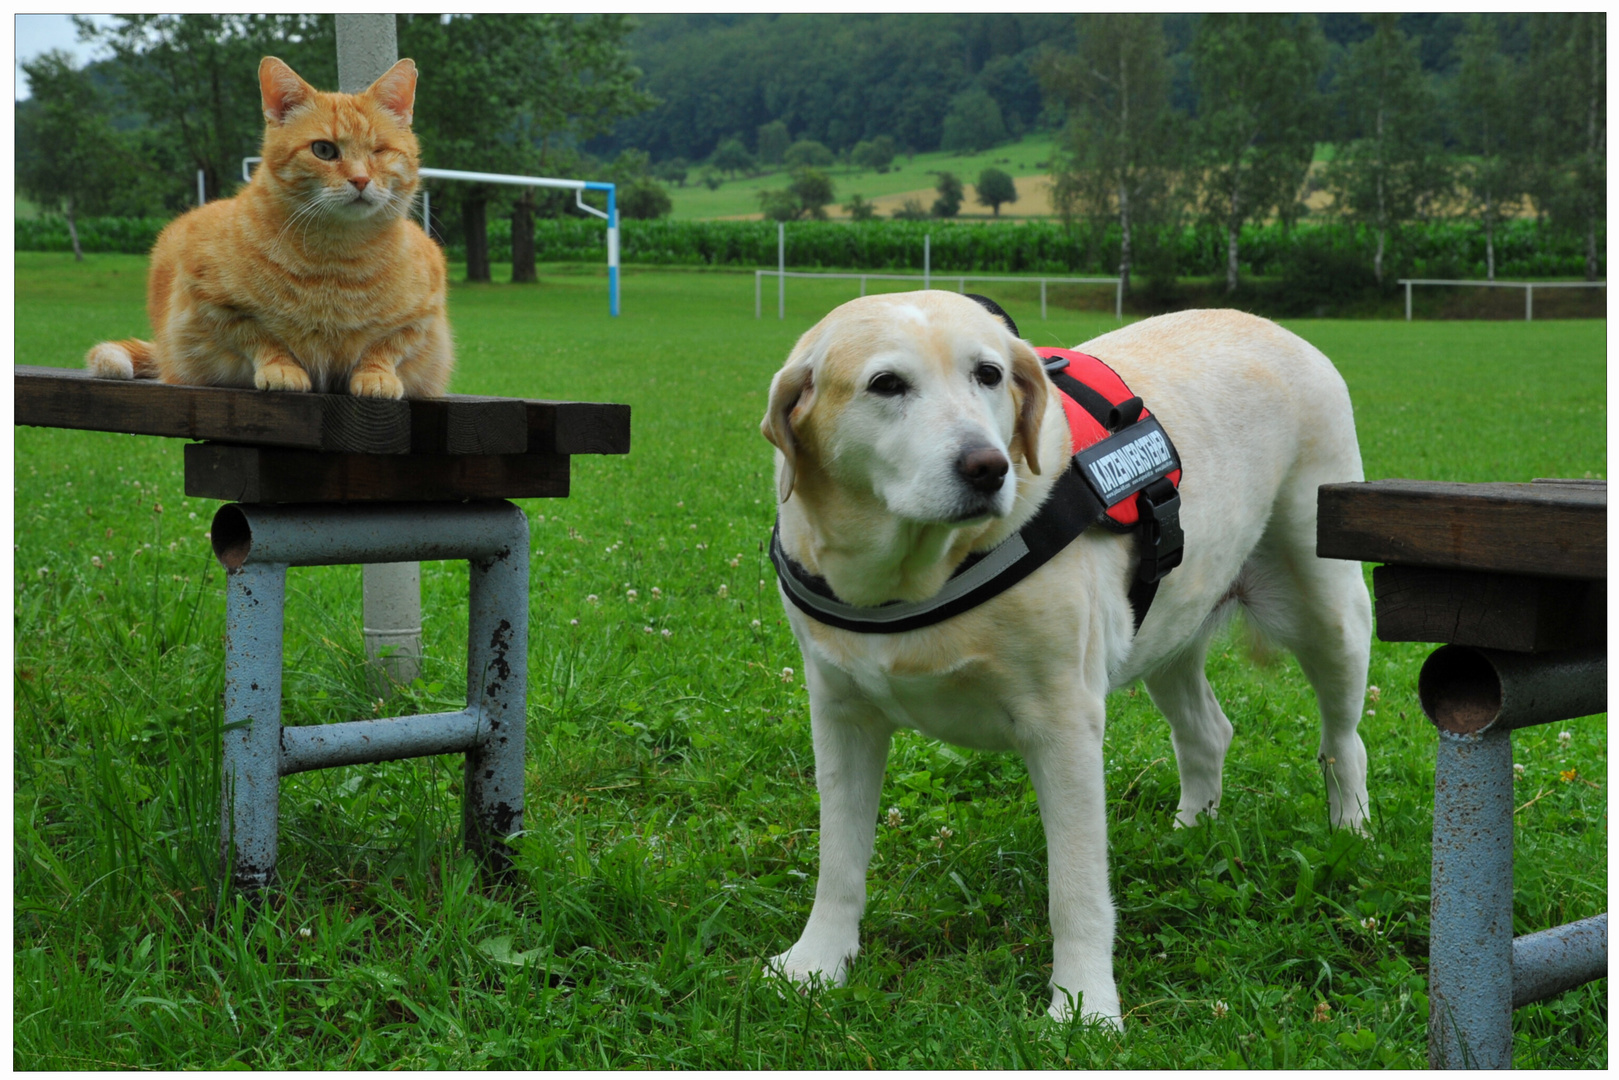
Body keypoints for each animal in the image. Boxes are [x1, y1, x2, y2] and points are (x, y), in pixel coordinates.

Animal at [89, 57, 456, 401]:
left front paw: (376, 376)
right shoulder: (211, 302)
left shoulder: (423, 315)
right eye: (324, 149)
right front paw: (282, 368)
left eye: (379, 151)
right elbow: (258, 337)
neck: (335, 261)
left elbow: (385, 347)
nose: (361, 179)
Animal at [764, 291, 1372, 1029]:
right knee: (1208, 732)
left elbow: (1076, 887)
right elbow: (839, 860)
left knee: (1342, 740)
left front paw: (1083, 1006)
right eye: (886, 384)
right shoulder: (841, 716)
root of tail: (1270, 326)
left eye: (988, 374)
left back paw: (1350, 830)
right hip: (1169, 625)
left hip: (1329, 609)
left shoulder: (1062, 724)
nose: (987, 466)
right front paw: (817, 962)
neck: (913, 579)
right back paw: (1189, 830)